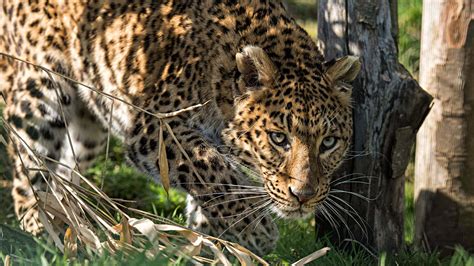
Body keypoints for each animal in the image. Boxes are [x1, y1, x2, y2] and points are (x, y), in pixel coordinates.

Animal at [0, 0, 362, 256]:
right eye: (278, 139)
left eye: (329, 143)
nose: (304, 196)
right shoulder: (154, 126)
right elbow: (211, 170)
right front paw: (256, 229)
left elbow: (211, 188)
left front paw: (211, 244)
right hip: (40, 91)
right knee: (28, 170)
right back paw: (40, 227)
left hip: (89, 125)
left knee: (64, 174)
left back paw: (73, 224)